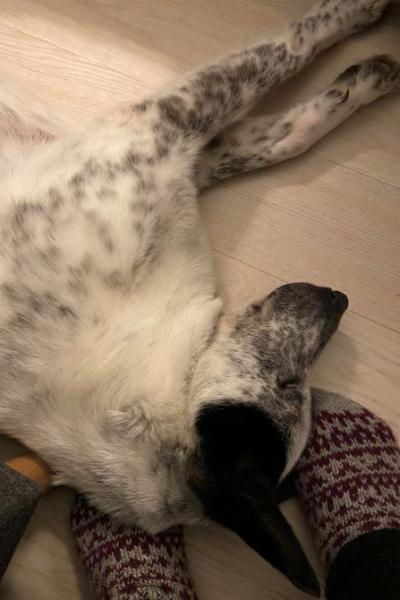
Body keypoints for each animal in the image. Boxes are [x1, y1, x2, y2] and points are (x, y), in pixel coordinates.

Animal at [0, 0, 398, 595]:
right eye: (291, 386)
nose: (339, 297)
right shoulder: (156, 130)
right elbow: (286, 51)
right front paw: (360, 16)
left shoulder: (176, 154)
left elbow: (282, 135)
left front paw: (361, 81)